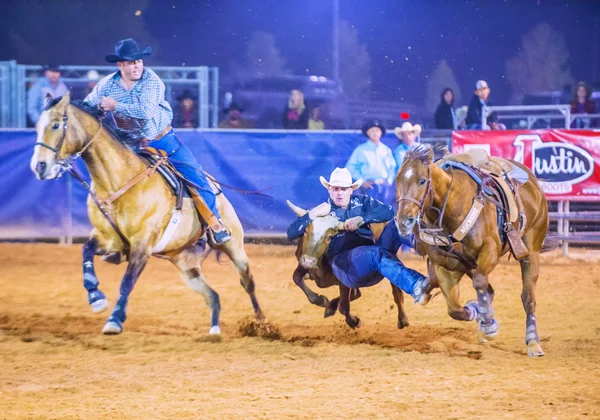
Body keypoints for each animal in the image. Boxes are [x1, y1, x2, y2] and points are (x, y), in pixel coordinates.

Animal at [29, 93, 264, 336]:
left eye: (56, 125)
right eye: (36, 126)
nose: (39, 166)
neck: (118, 183)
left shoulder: (143, 244)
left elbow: (127, 281)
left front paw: (114, 319)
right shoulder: (108, 238)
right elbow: (86, 251)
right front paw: (96, 298)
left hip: (234, 246)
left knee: (247, 282)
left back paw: (260, 325)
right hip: (187, 266)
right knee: (213, 296)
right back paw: (215, 331)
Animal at [396, 145, 552, 358]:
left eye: (421, 180)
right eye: (397, 180)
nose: (403, 221)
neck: (451, 206)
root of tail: (533, 183)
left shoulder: (489, 251)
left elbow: (479, 283)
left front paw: (488, 325)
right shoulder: (445, 265)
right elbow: (454, 309)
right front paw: (477, 312)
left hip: (531, 252)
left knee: (527, 298)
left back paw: (533, 342)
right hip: (466, 263)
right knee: (487, 289)